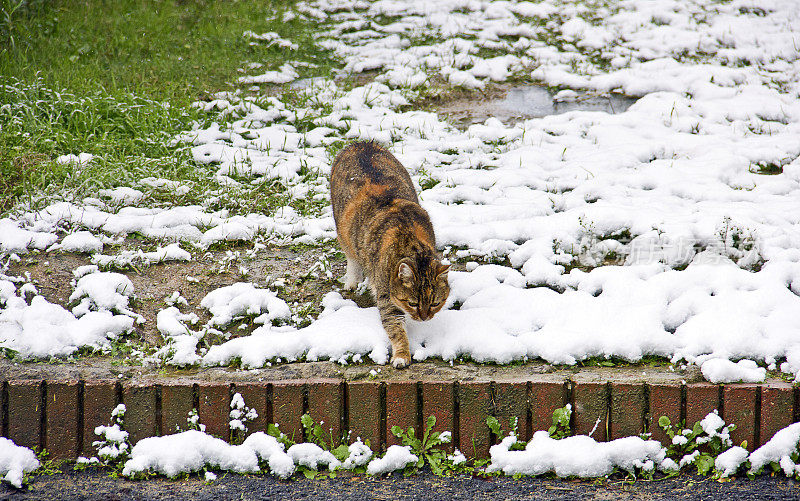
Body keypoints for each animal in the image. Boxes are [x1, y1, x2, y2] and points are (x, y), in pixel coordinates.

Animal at [330, 141, 450, 368]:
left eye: (435, 303)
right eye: (412, 303)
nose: (424, 318)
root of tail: (361, 143)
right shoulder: (387, 297)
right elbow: (395, 328)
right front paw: (402, 355)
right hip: (342, 230)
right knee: (351, 257)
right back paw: (352, 280)